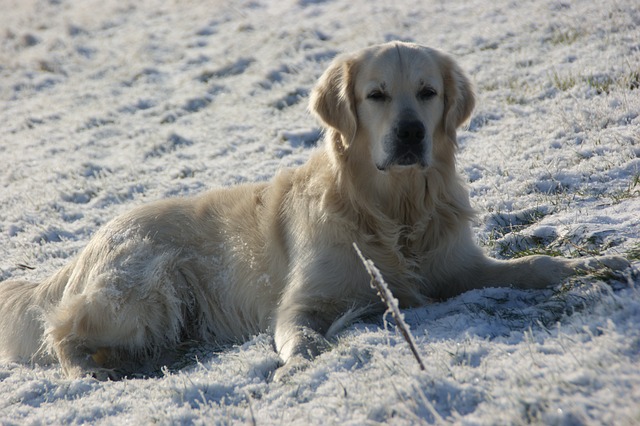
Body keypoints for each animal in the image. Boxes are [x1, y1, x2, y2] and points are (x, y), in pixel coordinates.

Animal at [0, 41, 632, 378]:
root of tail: (89, 242)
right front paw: (306, 360)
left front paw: (597, 266)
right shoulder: (302, 299)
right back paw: (90, 367)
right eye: (376, 95)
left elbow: (537, 266)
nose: (410, 134)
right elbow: (298, 333)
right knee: (62, 330)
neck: (392, 210)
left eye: (427, 92)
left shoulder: (457, 268)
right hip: (145, 290)